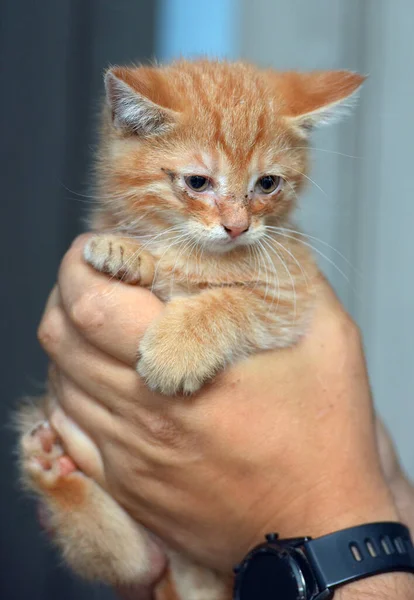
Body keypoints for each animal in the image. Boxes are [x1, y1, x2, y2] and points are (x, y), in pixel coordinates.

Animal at [17, 61, 364, 600]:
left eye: (268, 184)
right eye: (198, 182)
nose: (237, 227)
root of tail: (188, 577)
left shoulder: (291, 298)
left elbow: (234, 300)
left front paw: (177, 348)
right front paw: (123, 249)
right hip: (139, 552)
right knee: (128, 559)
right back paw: (51, 466)